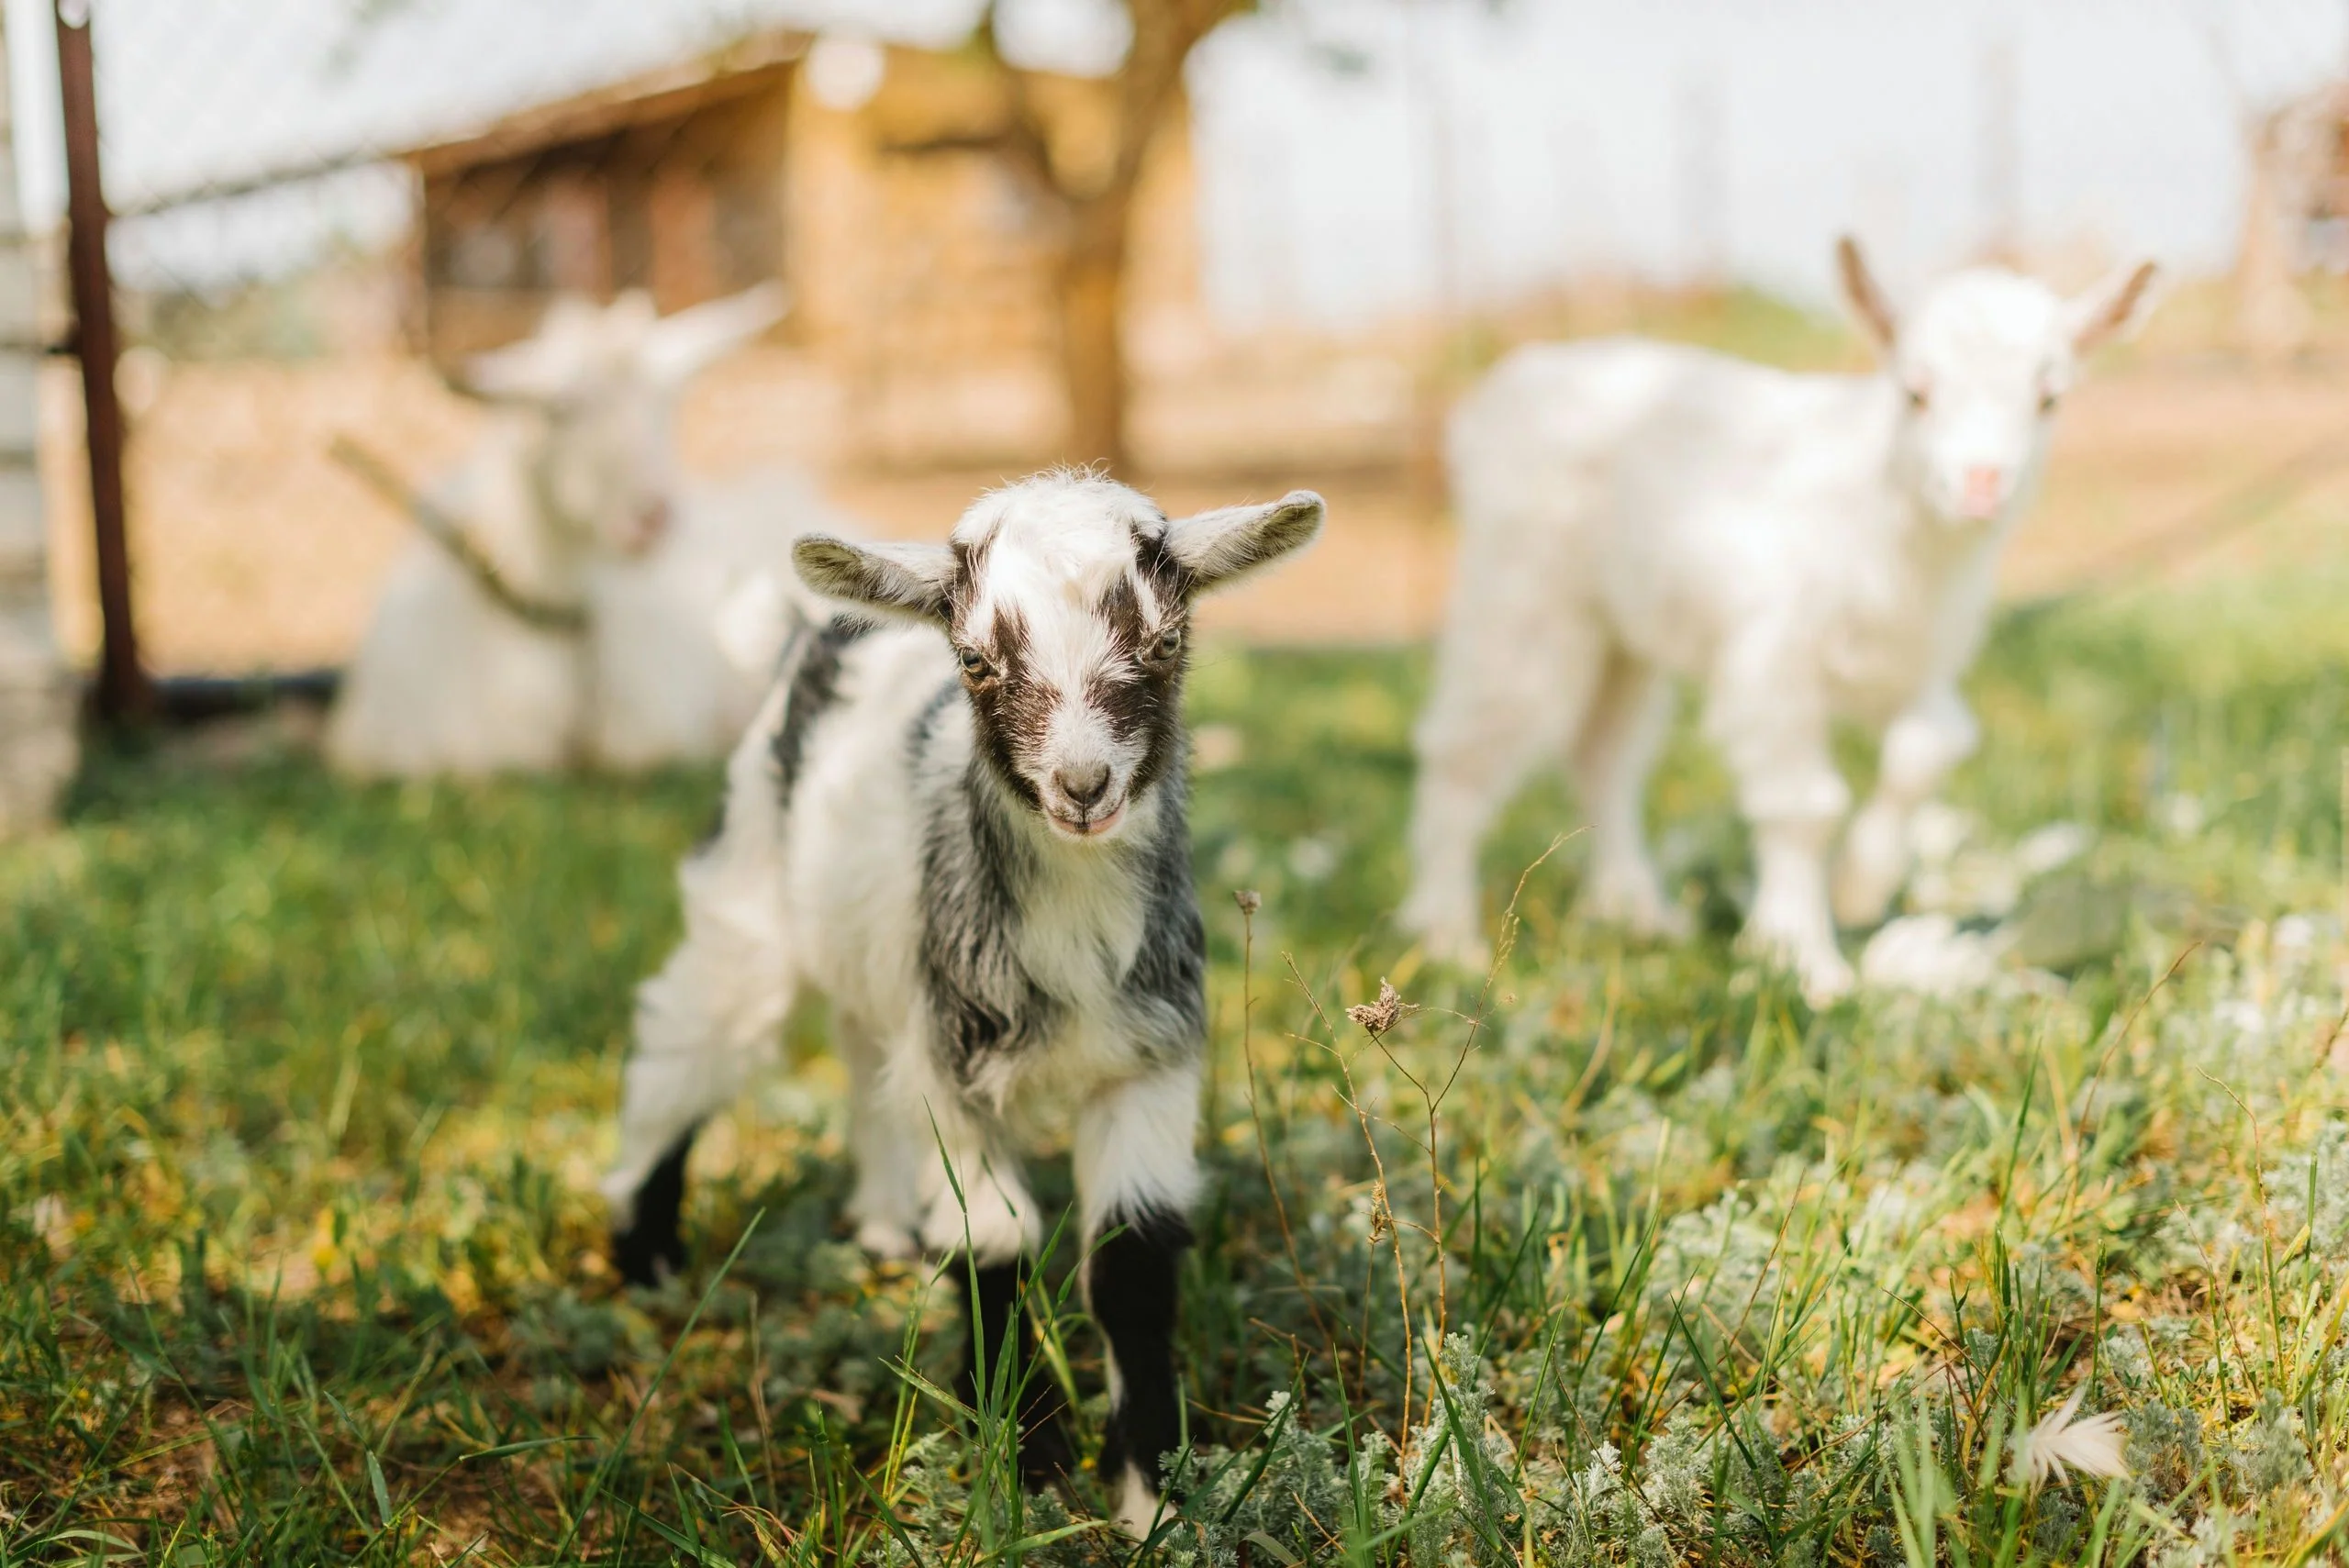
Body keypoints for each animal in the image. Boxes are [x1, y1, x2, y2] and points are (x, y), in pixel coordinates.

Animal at [600, 472, 1324, 1534]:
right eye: (978, 661)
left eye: (1164, 643)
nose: (1081, 784)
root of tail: (812, 631)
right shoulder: (959, 1072)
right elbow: (997, 1246)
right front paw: (1028, 1464)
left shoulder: (1149, 1058)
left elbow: (1131, 1257)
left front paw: (1152, 1492)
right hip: (749, 892)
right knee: (685, 1042)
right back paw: (645, 1255)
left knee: (862, 1050)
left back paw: (882, 1221)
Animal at [1401, 237, 2157, 1000]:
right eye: (1915, 392)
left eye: (2049, 397)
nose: (1981, 486)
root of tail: (1507, 389)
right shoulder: (1772, 660)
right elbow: (1804, 806)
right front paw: (1803, 961)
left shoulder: (1918, 661)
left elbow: (1930, 748)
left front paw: (1857, 887)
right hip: (1521, 594)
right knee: (1468, 744)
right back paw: (1448, 934)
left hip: (1624, 632)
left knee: (1603, 753)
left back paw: (1638, 912)